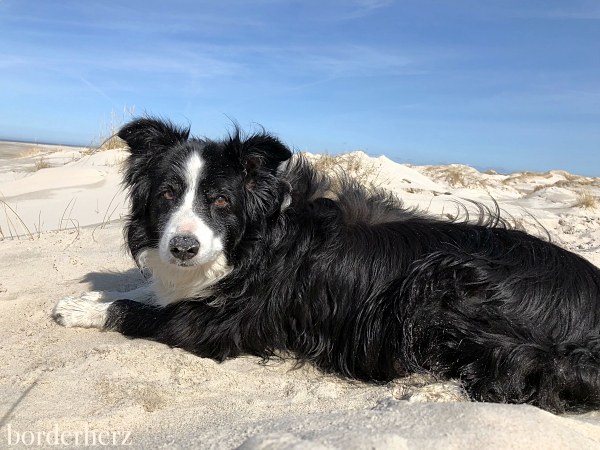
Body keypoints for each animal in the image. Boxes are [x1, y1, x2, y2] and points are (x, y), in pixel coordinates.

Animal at [50, 118, 600, 414]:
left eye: (222, 201)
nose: (183, 247)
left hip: (443, 278)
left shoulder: (225, 323)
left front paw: (82, 311)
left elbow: (146, 311)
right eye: (167, 194)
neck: (256, 240)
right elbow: (150, 292)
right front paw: (87, 297)